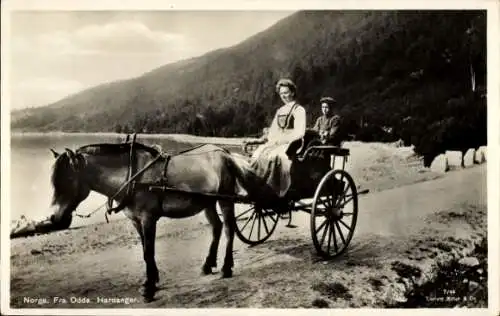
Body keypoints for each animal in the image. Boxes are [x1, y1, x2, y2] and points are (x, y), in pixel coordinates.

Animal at [47, 141, 266, 302]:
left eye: (67, 180)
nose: (53, 218)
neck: (132, 176)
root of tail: (224, 152)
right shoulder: (136, 221)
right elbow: (145, 251)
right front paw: (153, 279)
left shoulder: (148, 219)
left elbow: (148, 251)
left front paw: (149, 287)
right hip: (207, 201)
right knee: (217, 227)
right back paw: (208, 264)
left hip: (224, 199)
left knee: (229, 229)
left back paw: (227, 267)